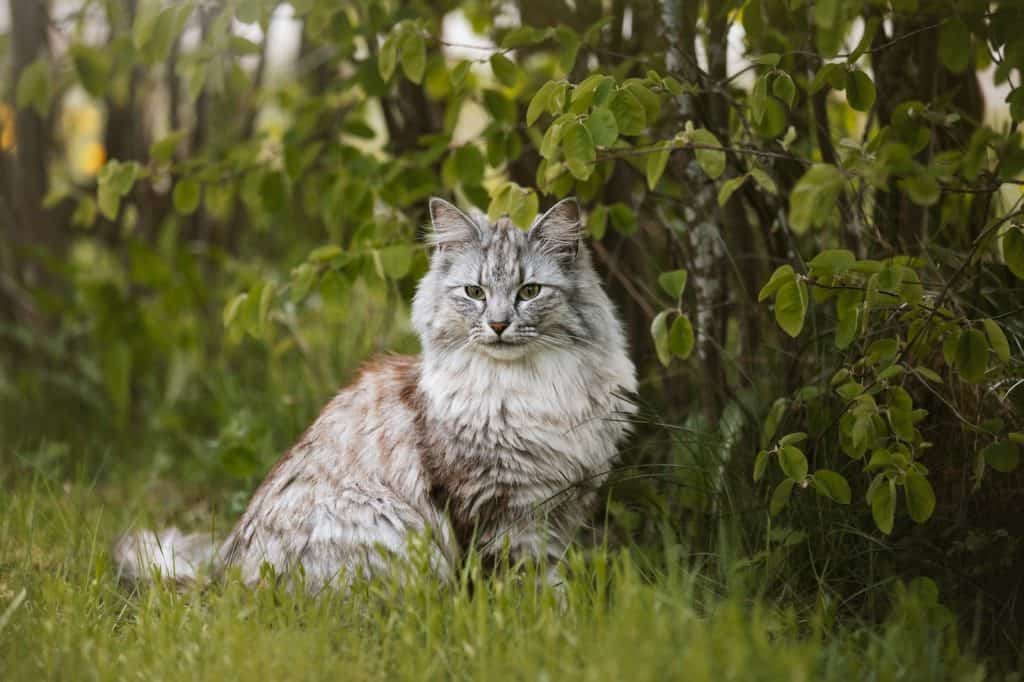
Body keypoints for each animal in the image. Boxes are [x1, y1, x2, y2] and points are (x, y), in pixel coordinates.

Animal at [116, 196, 634, 589]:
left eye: (529, 291)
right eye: (474, 292)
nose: (499, 324)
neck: (527, 389)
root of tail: (221, 584)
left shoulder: (563, 504)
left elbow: (552, 579)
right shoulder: (494, 507)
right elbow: (521, 582)